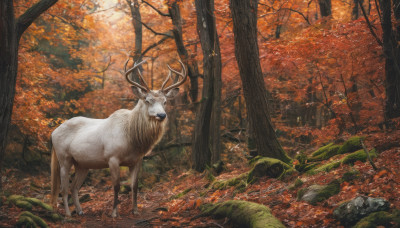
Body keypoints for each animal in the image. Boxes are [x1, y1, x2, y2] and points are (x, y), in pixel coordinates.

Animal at [50, 58, 187, 217]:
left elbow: (135, 185)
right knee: (63, 187)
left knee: (74, 187)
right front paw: (114, 213)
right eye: (147, 100)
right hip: (63, 157)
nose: (161, 115)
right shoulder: (112, 157)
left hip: (82, 164)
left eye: (165, 101)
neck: (132, 140)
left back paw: (80, 211)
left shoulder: (137, 160)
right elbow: (116, 186)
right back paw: (68, 214)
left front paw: (135, 211)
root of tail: (53, 133)